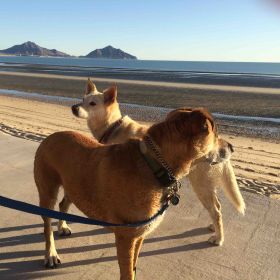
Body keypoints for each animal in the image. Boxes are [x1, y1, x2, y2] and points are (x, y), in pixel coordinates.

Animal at [34, 106, 219, 278]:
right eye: (217, 137)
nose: (226, 149)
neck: (154, 163)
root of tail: (49, 137)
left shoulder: (138, 235)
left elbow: (134, 265)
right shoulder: (126, 237)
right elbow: (127, 271)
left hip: (74, 184)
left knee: (63, 203)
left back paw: (63, 226)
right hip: (47, 190)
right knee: (47, 223)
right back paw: (50, 254)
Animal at [69, 78, 245, 245]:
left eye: (92, 103)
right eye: (82, 99)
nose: (74, 107)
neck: (113, 127)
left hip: (201, 185)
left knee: (216, 210)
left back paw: (219, 238)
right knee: (217, 207)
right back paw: (213, 227)